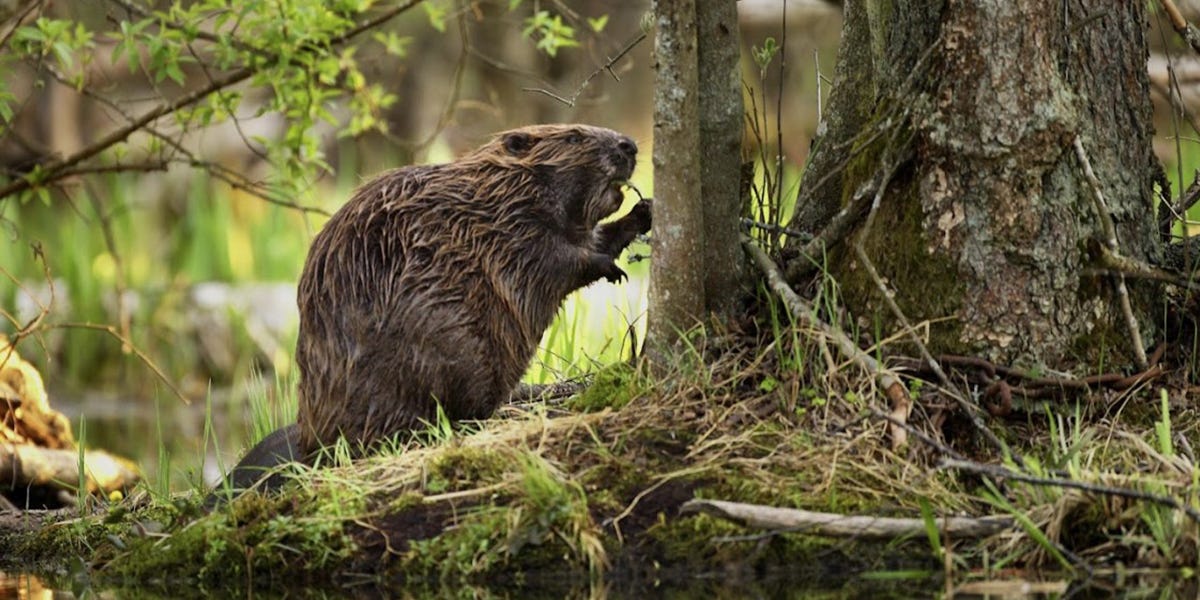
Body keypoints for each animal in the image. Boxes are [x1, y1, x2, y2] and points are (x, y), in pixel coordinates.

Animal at [211, 123, 652, 496]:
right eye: (575, 137)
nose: (629, 145)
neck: (499, 192)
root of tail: (308, 446)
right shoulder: (511, 230)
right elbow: (555, 260)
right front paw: (609, 267)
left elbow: (593, 237)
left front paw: (643, 211)